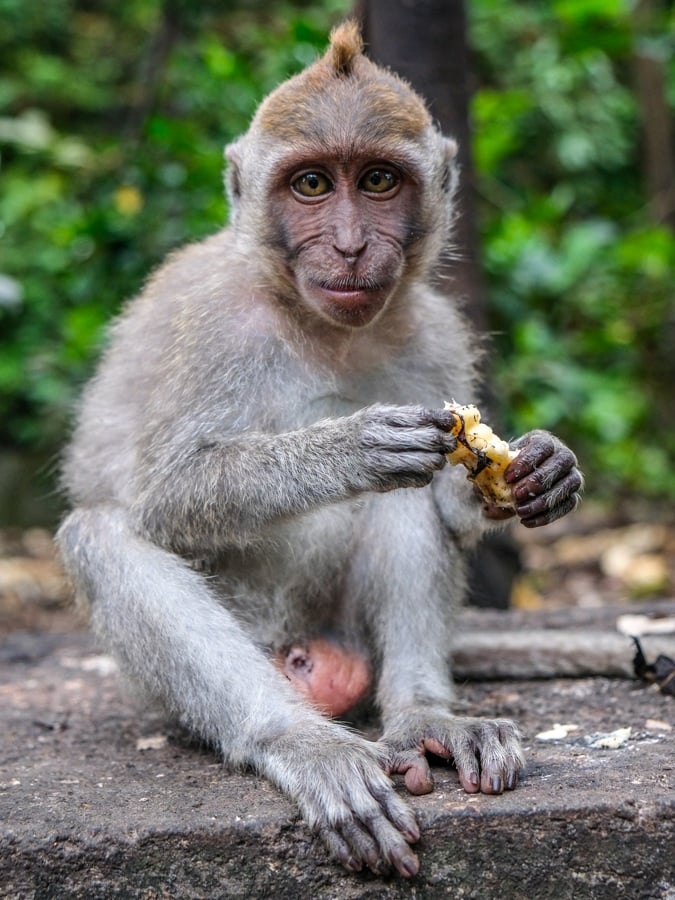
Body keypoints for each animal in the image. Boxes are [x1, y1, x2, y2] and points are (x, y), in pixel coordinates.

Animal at [56, 22, 588, 880]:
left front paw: (533, 470)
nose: (347, 245)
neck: (317, 323)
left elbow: (446, 482)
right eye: (310, 185)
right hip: (193, 673)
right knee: (102, 534)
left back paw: (422, 720)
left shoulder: (435, 331)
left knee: (408, 497)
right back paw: (301, 742)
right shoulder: (213, 327)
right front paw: (349, 447)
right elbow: (165, 497)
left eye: (376, 181)